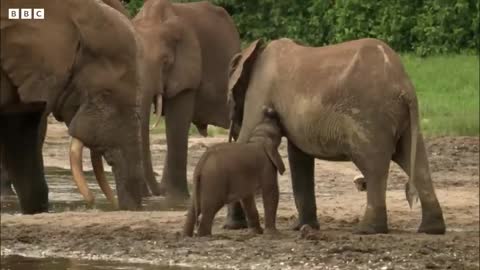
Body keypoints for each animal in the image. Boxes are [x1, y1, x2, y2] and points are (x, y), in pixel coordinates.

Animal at [182, 106, 284, 237]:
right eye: (277, 126)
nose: (268, 110)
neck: (259, 138)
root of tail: (202, 163)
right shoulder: (266, 165)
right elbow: (271, 191)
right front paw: (273, 234)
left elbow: (246, 197)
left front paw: (256, 232)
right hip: (214, 180)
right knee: (210, 208)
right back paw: (205, 236)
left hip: (200, 182)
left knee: (193, 209)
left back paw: (186, 235)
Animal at [225, 38, 446, 234]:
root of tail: (404, 86)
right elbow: (299, 157)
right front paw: (303, 227)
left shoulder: (259, 92)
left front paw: (233, 227)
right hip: (403, 121)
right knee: (416, 163)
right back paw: (431, 229)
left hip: (370, 117)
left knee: (373, 166)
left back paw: (367, 230)